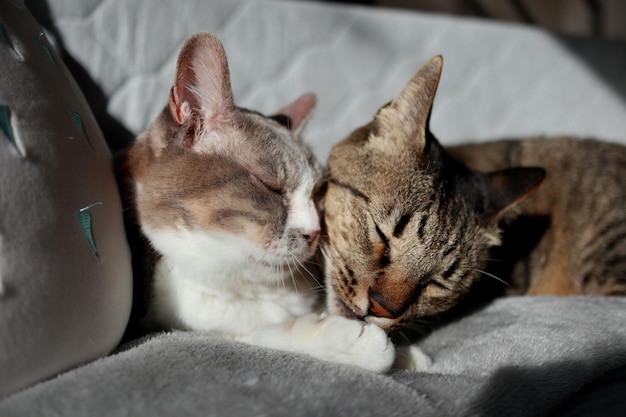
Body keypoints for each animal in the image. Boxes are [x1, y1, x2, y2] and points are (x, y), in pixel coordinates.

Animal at [114, 31, 392, 370]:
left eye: (316, 195)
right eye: (271, 186)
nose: (314, 233)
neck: (245, 287)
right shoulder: (193, 324)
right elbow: (273, 333)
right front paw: (355, 342)